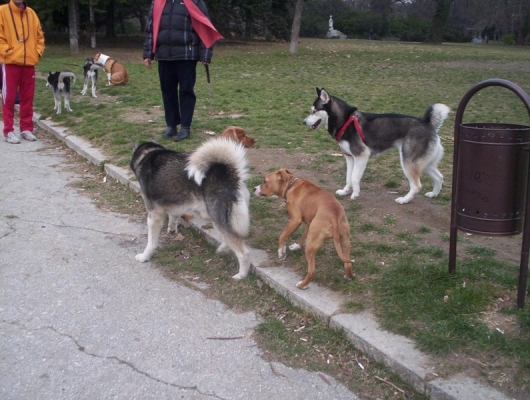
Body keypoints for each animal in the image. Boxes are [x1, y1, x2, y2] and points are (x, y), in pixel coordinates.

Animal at [130, 137, 251, 280]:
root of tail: (229, 174)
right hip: (218, 219)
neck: (148, 154)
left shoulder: (154, 215)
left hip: (218, 219)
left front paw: (145, 257)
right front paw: (172, 229)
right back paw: (223, 249)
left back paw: (241, 275)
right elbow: (173, 217)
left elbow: (151, 242)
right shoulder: (176, 206)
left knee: (243, 253)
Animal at [303, 88, 451, 204]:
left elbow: (354, 177)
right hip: (425, 163)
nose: (303, 122)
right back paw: (433, 194)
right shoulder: (350, 158)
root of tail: (427, 122)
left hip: (408, 162)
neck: (345, 121)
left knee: (417, 186)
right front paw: (345, 191)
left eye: (314, 111)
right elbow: (348, 177)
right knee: (439, 177)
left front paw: (355, 194)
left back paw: (404, 200)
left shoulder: (361, 156)